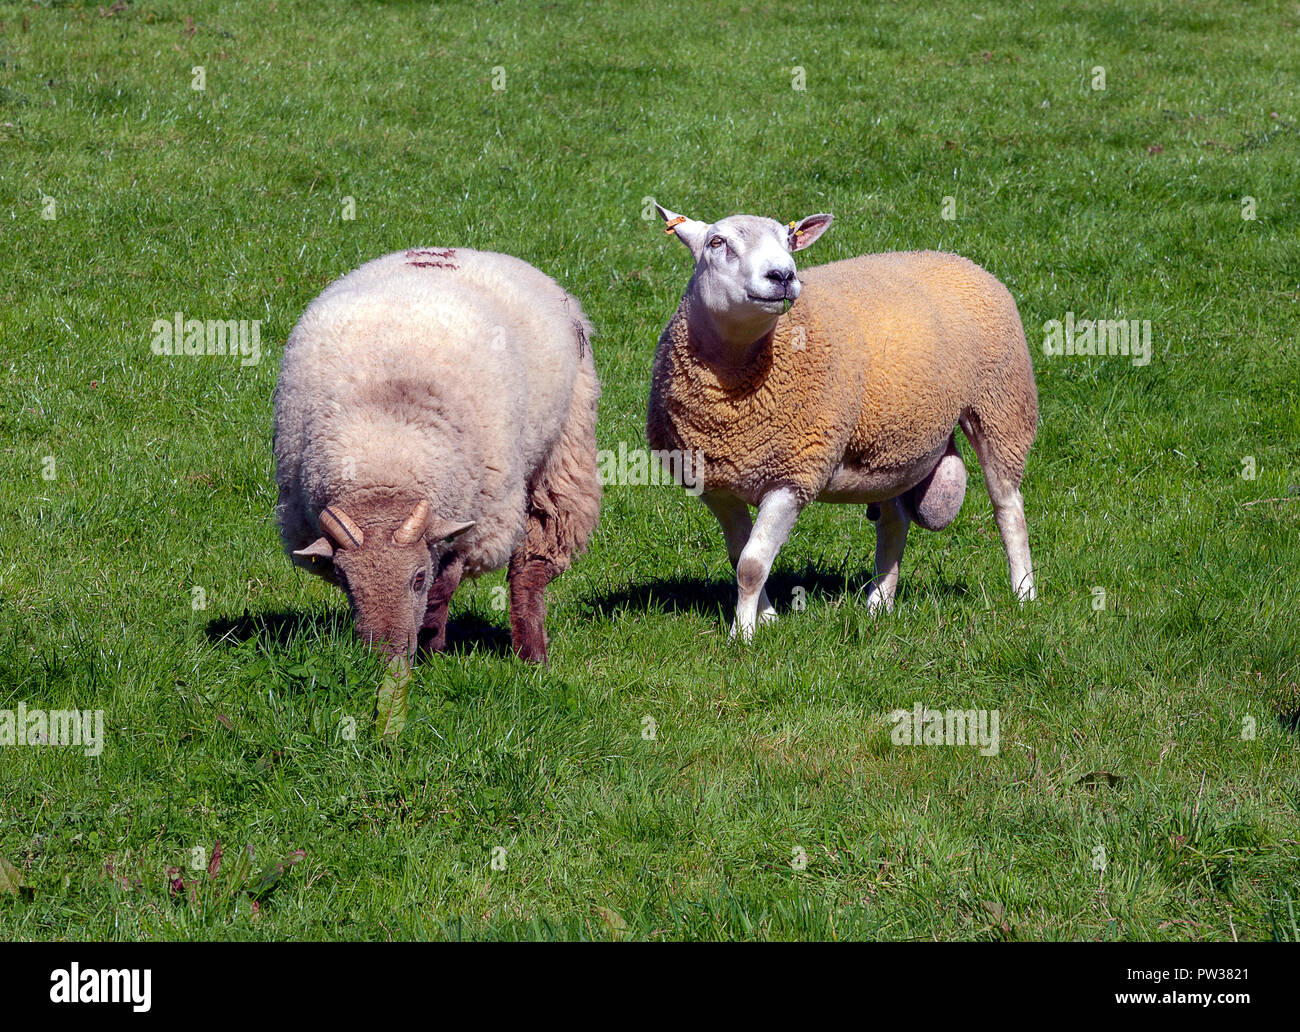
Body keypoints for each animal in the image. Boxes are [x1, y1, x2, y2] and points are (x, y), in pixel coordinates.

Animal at [276, 250, 600, 665]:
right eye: (347, 581)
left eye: (417, 578)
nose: (387, 663)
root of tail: (468, 251)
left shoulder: (475, 523)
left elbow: (442, 588)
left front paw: (432, 652)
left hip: (562, 452)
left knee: (532, 566)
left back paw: (532, 655)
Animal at [647, 206, 1034, 639]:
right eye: (717, 242)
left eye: (789, 240)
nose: (783, 275)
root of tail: (953, 257)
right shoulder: (714, 484)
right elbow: (739, 556)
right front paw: (766, 618)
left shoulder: (794, 476)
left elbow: (751, 564)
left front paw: (743, 636)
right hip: (891, 444)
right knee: (895, 523)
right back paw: (879, 604)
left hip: (1002, 405)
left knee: (1007, 506)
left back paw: (1024, 594)